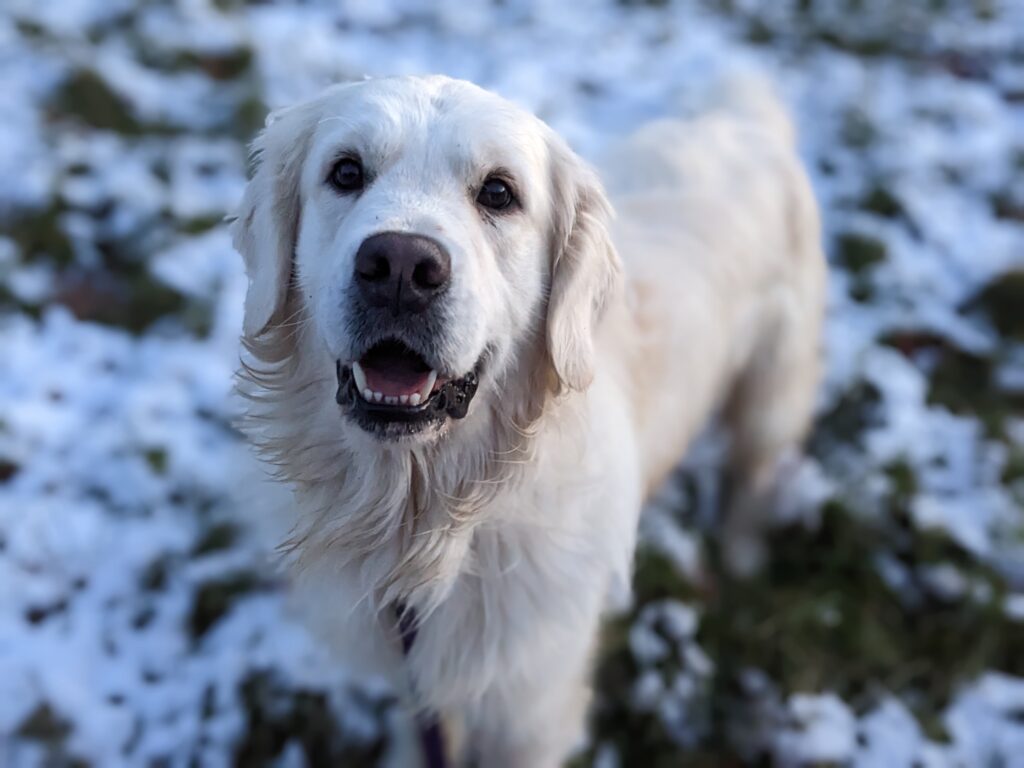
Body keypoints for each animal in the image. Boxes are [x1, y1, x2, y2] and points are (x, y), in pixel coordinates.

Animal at [232, 73, 823, 768]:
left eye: (498, 192)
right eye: (346, 172)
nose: (400, 267)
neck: (430, 519)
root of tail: (745, 110)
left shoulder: (533, 709)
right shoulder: (420, 676)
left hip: (773, 387)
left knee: (755, 465)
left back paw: (741, 549)